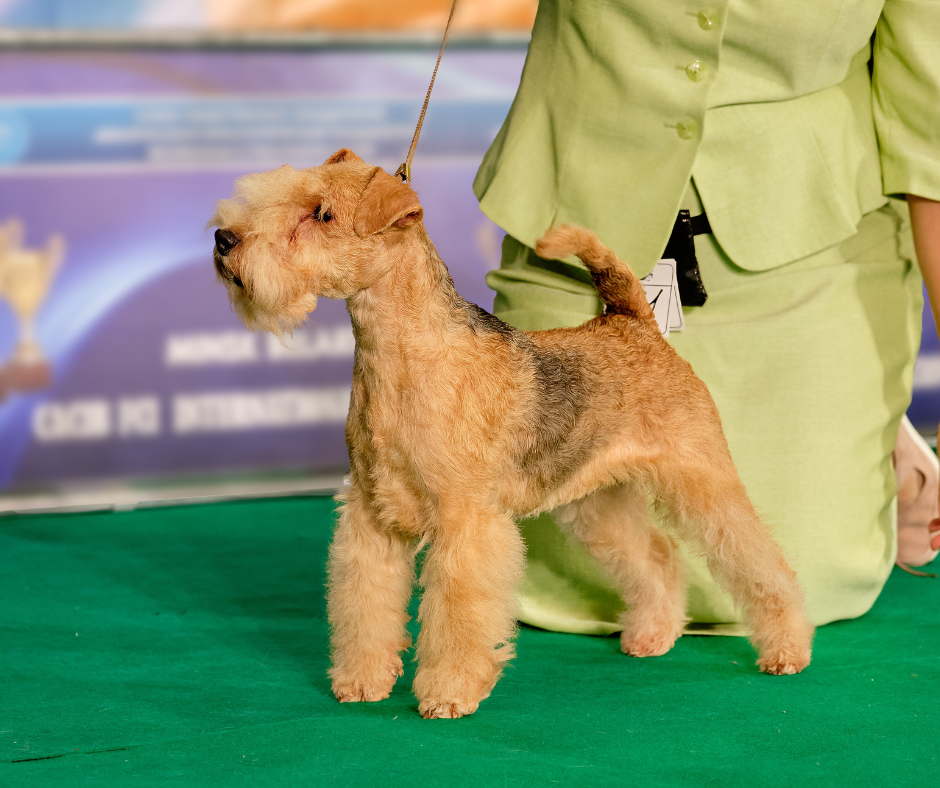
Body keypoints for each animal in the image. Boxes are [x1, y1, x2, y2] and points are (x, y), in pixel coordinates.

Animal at [209, 149, 812, 720]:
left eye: (323, 214)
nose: (223, 239)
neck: (399, 358)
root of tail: (633, 321)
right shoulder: (372, 513)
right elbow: (366, 604)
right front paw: (361, 682)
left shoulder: (465, 520)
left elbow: (457, 614)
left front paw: (448, 694)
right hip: (597, 501)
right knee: (658, 556)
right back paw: (653, 635)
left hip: (701, 477)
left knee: (759, 558)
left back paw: (786, 650)